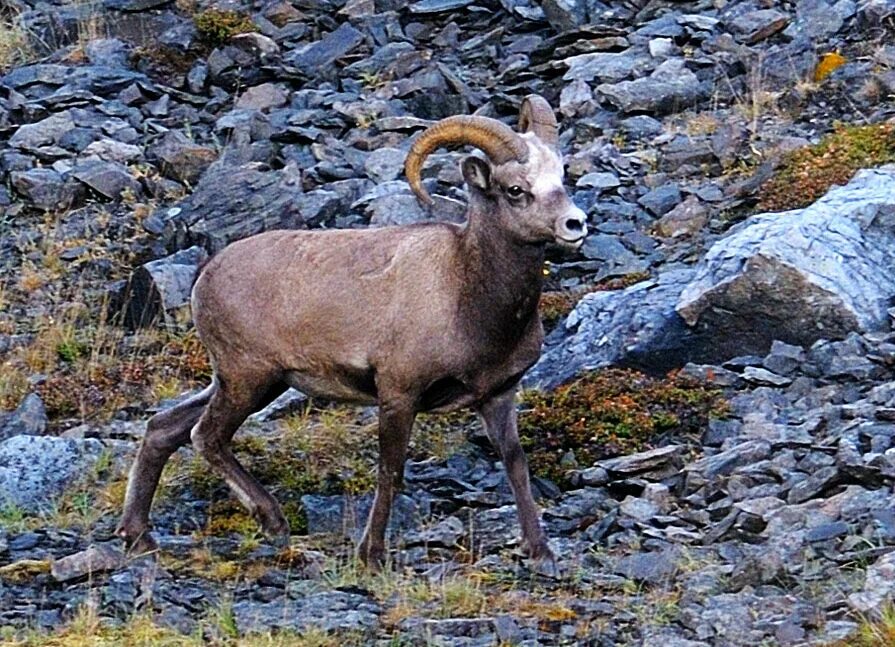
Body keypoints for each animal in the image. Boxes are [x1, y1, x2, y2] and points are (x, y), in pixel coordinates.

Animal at [119, 95, 592, 568]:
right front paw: (371, 555)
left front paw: (539, 550)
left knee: (163, 428)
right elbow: (391, 472)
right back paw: (272, 520)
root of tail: (206, 277)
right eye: (515, 189)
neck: (465, 289)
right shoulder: (399, 395)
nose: (575, 224)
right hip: (248, 381)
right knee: (206, 437)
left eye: (561, 177)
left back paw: (138, 536)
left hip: (249, 383)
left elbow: (515, 464)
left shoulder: (498, 397)